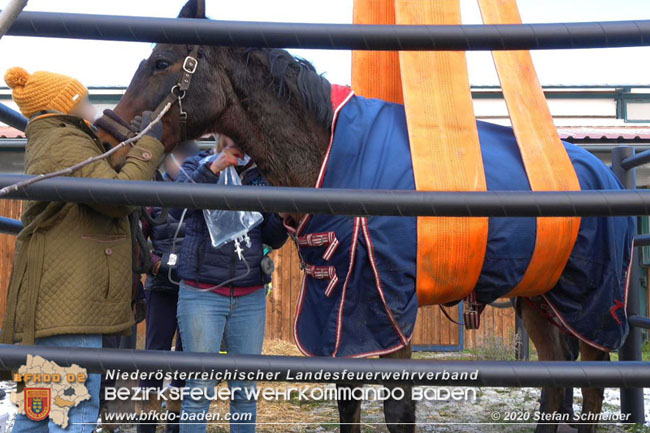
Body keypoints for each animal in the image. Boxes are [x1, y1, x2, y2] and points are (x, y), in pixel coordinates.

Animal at [95, 1, 635, 432]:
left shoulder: (386, 313)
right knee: (557, 386)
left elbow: (398, 413)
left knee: (589, 385)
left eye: (161, 62)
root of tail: (603, 176)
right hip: (538, 298)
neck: (336, 160)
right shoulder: (340, 315)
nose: (107, 133)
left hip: (588, 305)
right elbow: (348, 405)